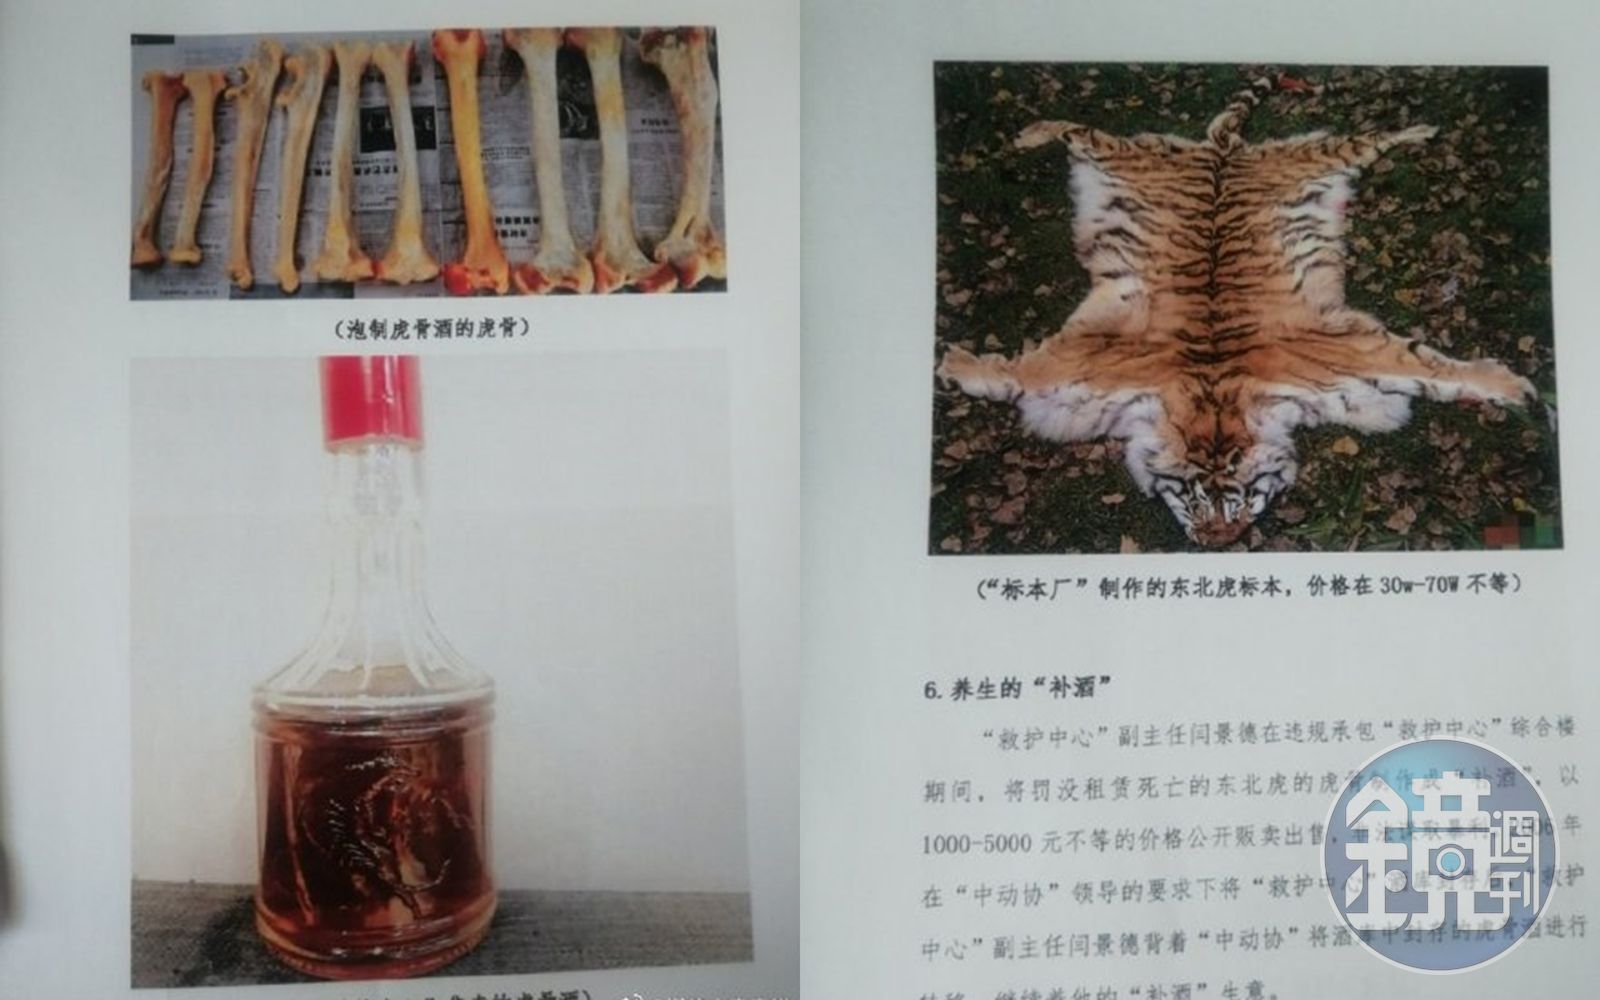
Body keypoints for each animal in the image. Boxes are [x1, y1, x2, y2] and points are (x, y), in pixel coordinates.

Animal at [937, 82, 1535, 547]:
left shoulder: (1348, 353)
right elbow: (1014, 375)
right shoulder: (1083, 364)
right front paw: (954, 366)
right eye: (1191, 496)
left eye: (1243, 495)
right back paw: (1029, 133)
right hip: (1140, 156)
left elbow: (1431, 368)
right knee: (1087, 131)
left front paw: (1512, 388)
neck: (1217, 391)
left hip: (1299, 158)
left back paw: (1419, 130)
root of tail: (1222, 152)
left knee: (1357, 139)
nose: (1219, 542)